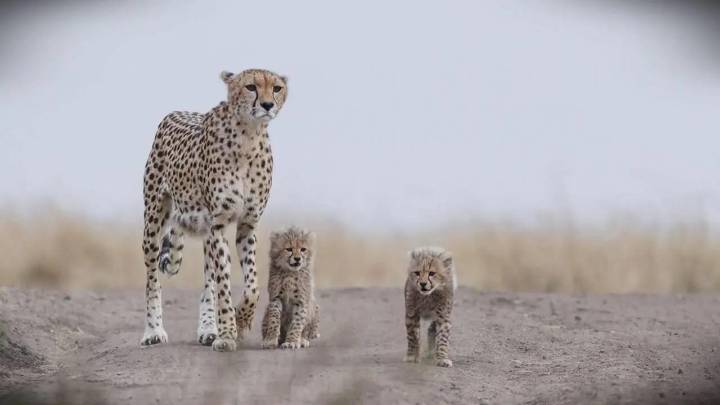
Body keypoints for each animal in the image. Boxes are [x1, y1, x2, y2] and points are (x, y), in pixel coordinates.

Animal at [140, 68, 288, 352]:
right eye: (251, 87)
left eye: (276, 88)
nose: (267, 105)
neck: (249, 137)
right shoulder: (218, 223)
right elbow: (224, 286)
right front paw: (228, 333)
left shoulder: (246, 225)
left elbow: (251, 287)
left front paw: (240, 322)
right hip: (154, 219)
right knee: (152, 277)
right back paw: (153, 331)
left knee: (209, 278)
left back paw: (208, 329)